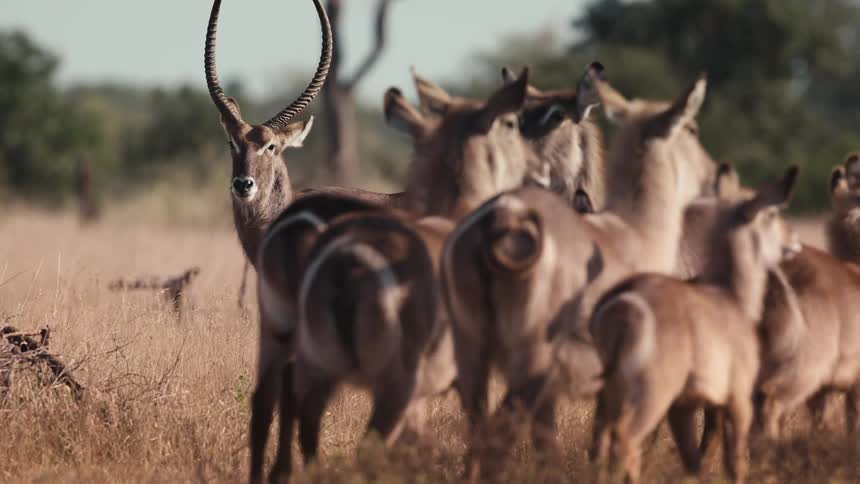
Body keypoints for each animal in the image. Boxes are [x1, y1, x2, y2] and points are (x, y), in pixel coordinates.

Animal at [589, 166, 800, 484]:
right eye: (772, 214)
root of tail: (624, 302)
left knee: (600, 442)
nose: (794, 238)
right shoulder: (738, 397)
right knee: (624, 439)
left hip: (609, 393)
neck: (733, 295)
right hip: (652, 391)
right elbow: (734, 460)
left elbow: (694, 460)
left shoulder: (684, 407)